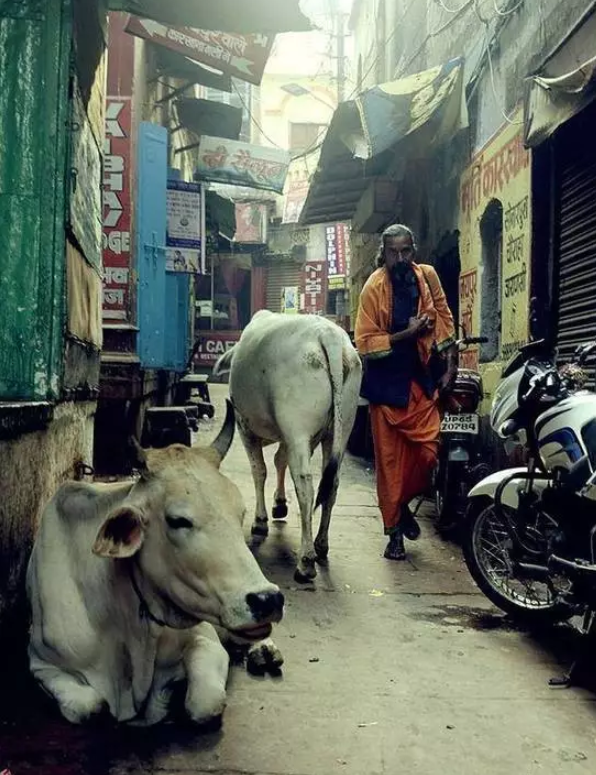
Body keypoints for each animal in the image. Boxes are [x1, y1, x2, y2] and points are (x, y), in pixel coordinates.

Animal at [25, 400, 282, 728]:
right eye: (177, 520)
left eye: (240, 513)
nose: (267, 599)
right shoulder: (41, 662)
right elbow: (89, 706)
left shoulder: (205, 639)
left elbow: (203, 704)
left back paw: (264, 651)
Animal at [215, 310, 364, 584]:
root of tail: (329, 335)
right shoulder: (297, 438)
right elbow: (278, 461)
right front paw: (279, 503)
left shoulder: (244, 426)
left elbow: (260, 470)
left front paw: (260, 520)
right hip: (339, 429)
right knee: (331, 484)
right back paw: (321, 544)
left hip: (297, 431)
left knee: (305, 485)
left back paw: (305, 562)